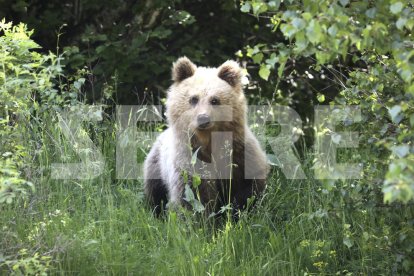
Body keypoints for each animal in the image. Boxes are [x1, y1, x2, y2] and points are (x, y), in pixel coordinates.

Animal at [144, 56, 270, 216]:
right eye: (193, 99)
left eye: (214, 100)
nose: (203, 118)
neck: (208, 141)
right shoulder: (190, 160)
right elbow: (192, 195)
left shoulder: (240, 154)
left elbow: (248, 188)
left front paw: (239, 211)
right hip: (156, 165)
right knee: (155, 191)